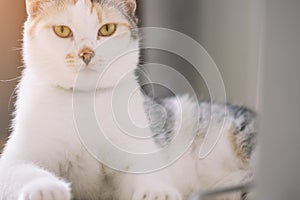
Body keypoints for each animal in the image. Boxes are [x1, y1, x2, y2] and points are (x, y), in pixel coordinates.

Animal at [0, 0, 258, 200]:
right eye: (62, 31)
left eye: (107, 29)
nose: (86, 53)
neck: (83, 102)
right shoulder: (16, 157)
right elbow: (24, 170)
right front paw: (45, 189)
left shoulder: (138, 152)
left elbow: (147, 172)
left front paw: (158, 192)